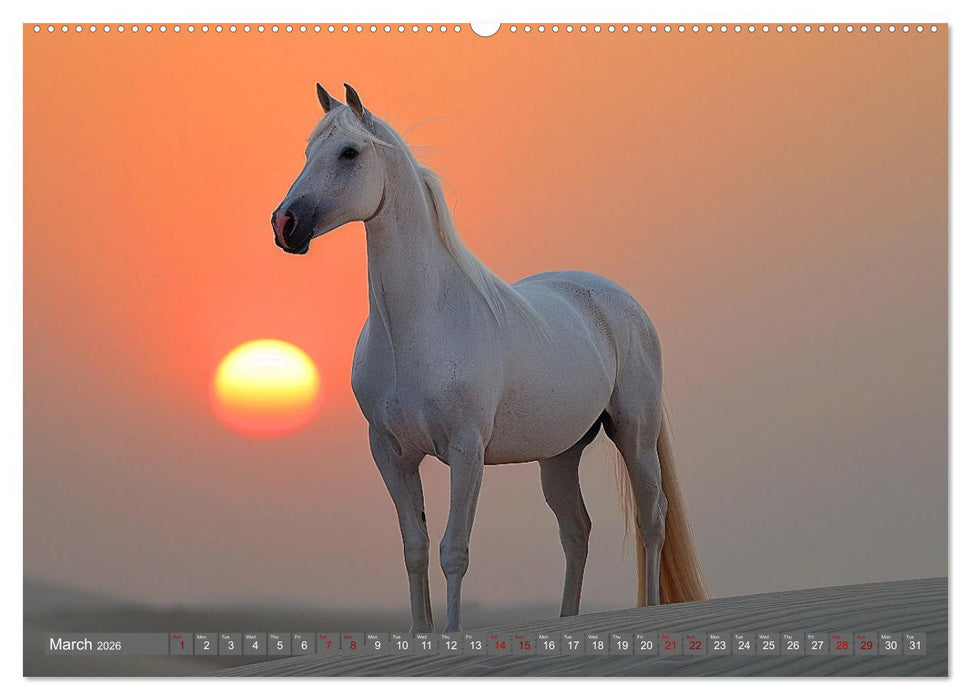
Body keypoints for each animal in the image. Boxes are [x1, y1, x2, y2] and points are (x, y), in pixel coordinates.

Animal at [271, 83, 708, 632]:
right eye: (309, 153)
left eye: (349, 153)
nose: (284, 224)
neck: (419, 325)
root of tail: (620, 301)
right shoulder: (391, 454)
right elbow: (415, 548)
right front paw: (421, 633)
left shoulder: (466, 451)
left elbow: (453, 550)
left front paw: (453, 632)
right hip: (561, 453)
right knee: (576, 530)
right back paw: (566, 620)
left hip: (635, 432)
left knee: (652, 518)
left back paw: (648, 612)